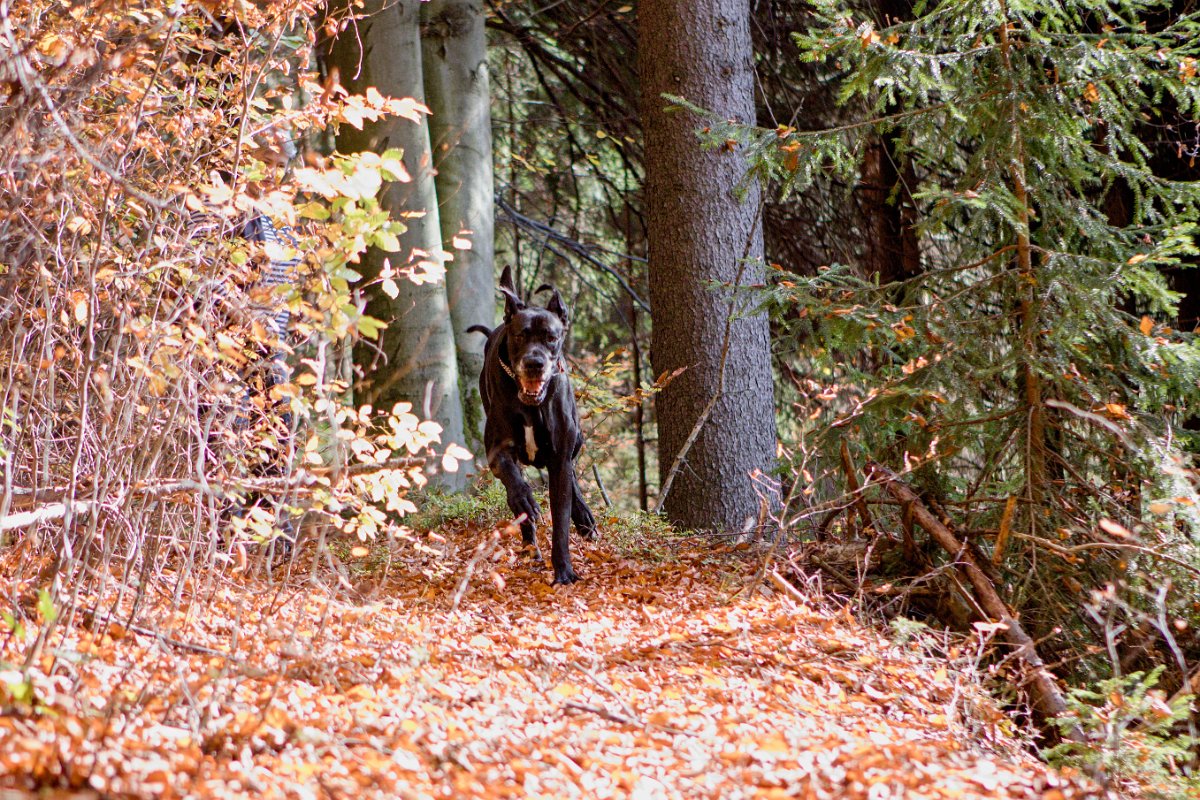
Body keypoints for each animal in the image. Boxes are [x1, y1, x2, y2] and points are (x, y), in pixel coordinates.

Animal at [470, 266, 597, 585]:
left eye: (551, 337)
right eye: (520, 335)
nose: (534, 363)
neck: (531, 404)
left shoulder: (560, 456)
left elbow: (561, 516)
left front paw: (564, 570)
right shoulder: (497, 451)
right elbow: (515, 482)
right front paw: (525, 502)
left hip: (576, 439)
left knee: (573, 474)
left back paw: (584, 518)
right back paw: (529, 542)